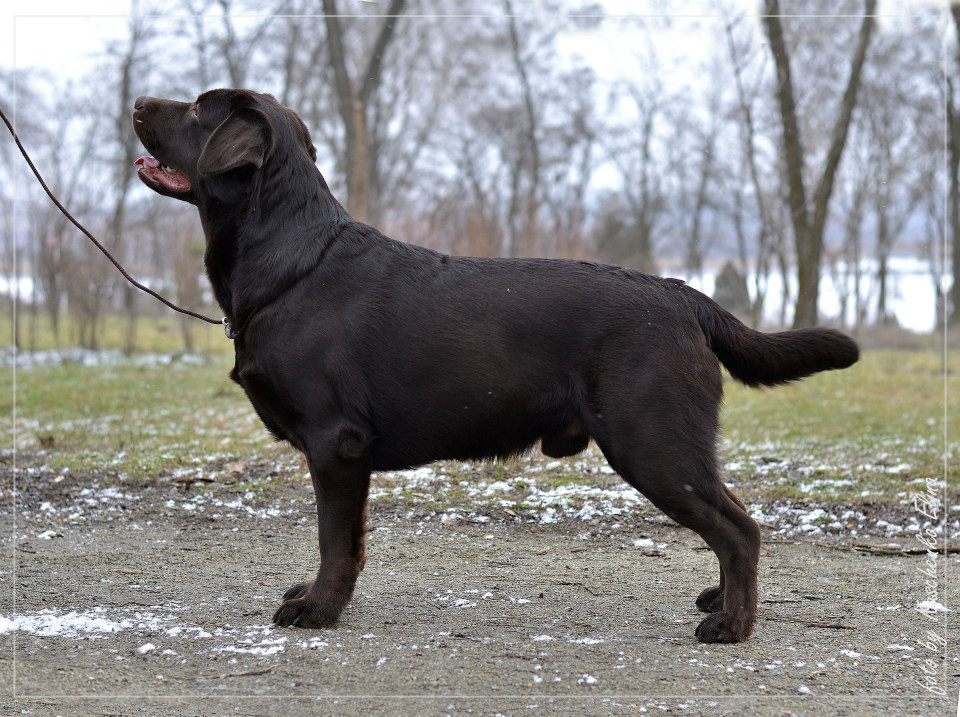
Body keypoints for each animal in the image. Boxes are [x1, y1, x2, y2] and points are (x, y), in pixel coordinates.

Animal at [131, 88, 860, 644]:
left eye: (197, 108)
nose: (137, 101)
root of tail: (684, 294)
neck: (290, 261)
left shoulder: (336, 444)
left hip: (652, 441)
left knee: (740, 529)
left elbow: (335, 540)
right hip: (668, 444)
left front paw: (318, 609)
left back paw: (732, 625)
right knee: (735, 518)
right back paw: (720, 600)